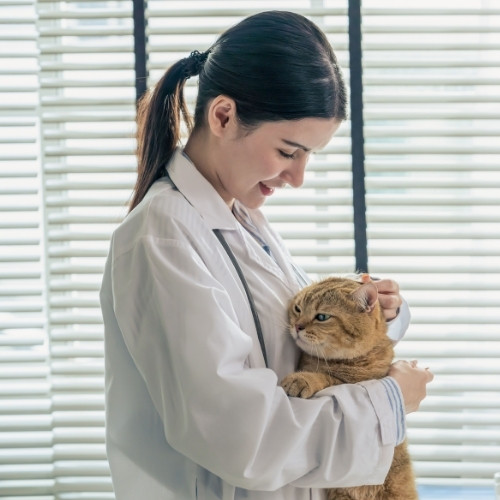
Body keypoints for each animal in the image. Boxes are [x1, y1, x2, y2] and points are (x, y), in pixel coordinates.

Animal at [282, 276, 418, 498]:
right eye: (297, 309)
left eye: (322, 316)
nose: (297, 326)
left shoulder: (353, 383)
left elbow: (326, 378)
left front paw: (302, 379)